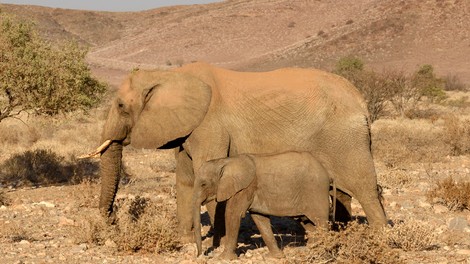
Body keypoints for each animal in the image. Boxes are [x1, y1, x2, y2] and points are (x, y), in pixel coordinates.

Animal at [82, 62, 388, 241]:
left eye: (121, 106)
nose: (113, 222)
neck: (169, 76)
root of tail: (360, 99)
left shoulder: (210, 125)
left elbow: (207, 178)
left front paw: (217, 243)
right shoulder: (186, 129)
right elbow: (185, 182)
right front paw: (184, 242)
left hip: (345, 137)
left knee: (364, 187)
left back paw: (381, 239)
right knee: (344, 192)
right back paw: (344, 237)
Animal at [191, 152, 330, 258]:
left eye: (203, 184)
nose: (200, 255)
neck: (225, 161)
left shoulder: (245, 187)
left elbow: (232, 214)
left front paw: (223, 258)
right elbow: (259, 218)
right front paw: (275, 257)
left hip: (316, 191)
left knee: (321, 222)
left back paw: (322, 249)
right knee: (308, 223)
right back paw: (311, 248)